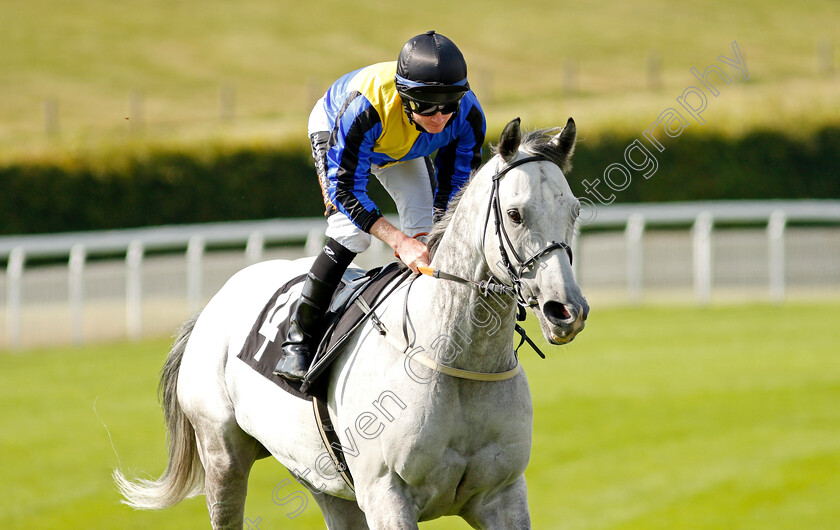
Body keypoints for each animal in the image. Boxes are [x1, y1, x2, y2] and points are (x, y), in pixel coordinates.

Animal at [115, 117, 592, 524]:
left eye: (574, 211)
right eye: (515, 214)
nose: (565, 310)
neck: (457, 359)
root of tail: (215, 302)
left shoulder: (502, 495)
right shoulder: (387, 496)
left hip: (323, 480)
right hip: (222, 457)